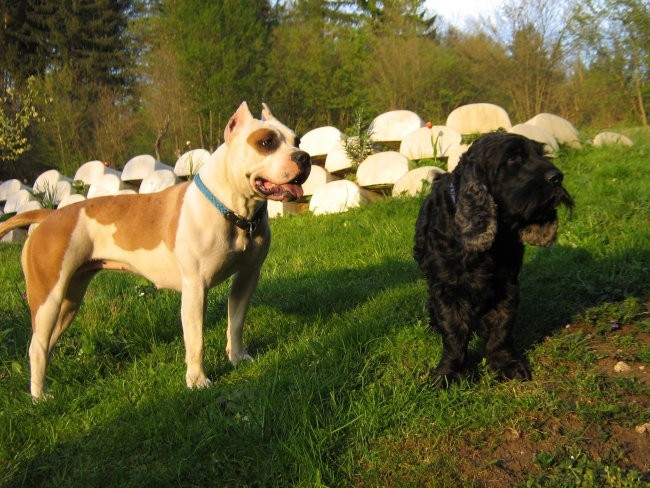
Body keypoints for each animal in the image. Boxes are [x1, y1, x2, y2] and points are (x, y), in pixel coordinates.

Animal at [0, 101, 312, 398]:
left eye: (296, 140)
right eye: (266, 142)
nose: (304, 157)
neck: (234, 211)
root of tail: (48, 216)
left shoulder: (247, 277)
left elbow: (235, 322)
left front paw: (237, 357)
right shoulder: (195, 289)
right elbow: (196, 341)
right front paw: (197, 381)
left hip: (69, 300)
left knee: (44, 344)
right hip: (48, 297)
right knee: (36, 347)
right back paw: (40, 397)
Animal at [412, 133, 568, 386]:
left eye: (541, 154)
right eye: (512, 158)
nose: (558, 177)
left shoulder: (505, 284)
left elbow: (501, 327)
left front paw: (506, 363)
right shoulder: (448, 288)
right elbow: (453, 333)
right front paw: (449, 372)